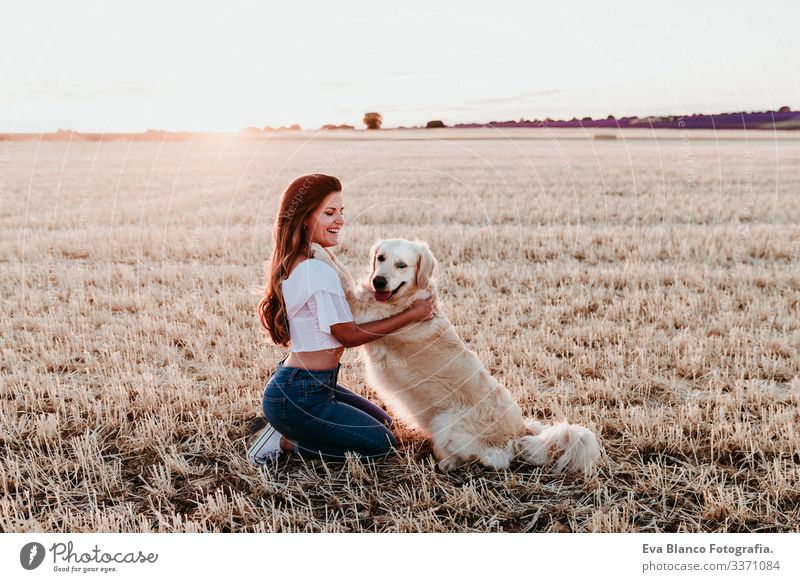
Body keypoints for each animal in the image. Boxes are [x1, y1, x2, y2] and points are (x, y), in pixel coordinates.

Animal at [310, 242, 600, 474]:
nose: (378, 282)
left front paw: (319, 251)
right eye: (380, 258)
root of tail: (519, 432)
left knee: (483, 459)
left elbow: (343, 278)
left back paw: (445, 462)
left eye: (401, 264)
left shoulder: (362, 316)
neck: (410, 298)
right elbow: (344, 273)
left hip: (444, 420)